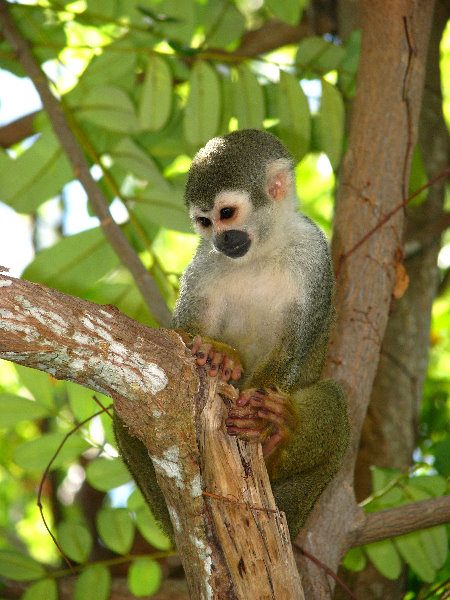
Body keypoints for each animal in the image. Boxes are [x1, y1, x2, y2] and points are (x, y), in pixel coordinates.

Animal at [114, 129, 350, 540]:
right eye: (204, 222)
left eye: (226, 214)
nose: (222, 241)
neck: (261, 252)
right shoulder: (203, 262)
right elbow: (178, 338)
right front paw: (215, 354)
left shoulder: (314, 253)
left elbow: (291, 352)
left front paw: (257, 419)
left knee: (335, 400)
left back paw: (277, 438)